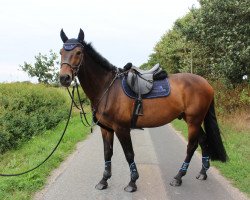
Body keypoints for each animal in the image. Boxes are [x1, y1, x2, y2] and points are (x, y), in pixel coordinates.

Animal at [59, 28, 228, 192]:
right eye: (61, 52)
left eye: (78, 52)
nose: (64, 78)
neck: (108, 89)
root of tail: (207, 83)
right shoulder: (106, 129)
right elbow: (107, 153)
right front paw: (104, 180)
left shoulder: (121, 128)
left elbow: (129, 154)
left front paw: (132, 182)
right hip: (191, 119)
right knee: (203, 140)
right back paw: (202, 172)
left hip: (194, 121)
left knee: (192, 146)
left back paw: (178, 177)